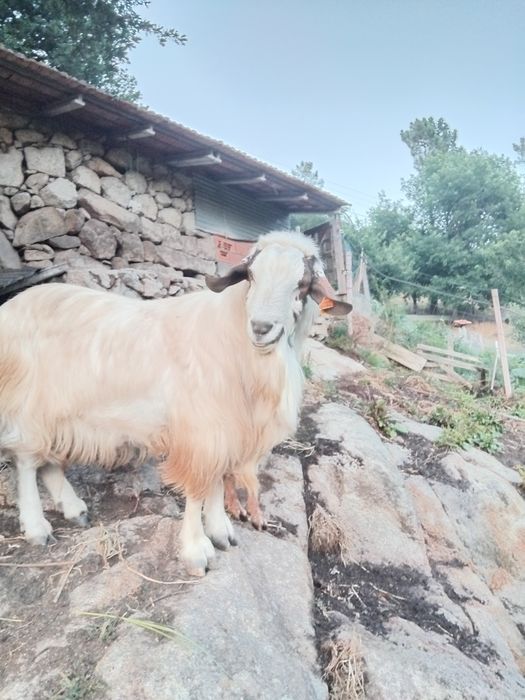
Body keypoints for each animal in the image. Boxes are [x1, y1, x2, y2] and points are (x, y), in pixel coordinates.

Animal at [0, 230, 351, 576]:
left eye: (302, 284)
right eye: (251, 275)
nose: (262, 328)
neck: (237, 342)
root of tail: (11, 307)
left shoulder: (223, 430)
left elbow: (216, 482)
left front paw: (221, 531)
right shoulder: (201, 430)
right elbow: (198, 488)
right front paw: (197, 550)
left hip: (57, 413)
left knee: (49, 462)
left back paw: (74, 509)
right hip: (28, 405)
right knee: (27, 461)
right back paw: (36, 527)